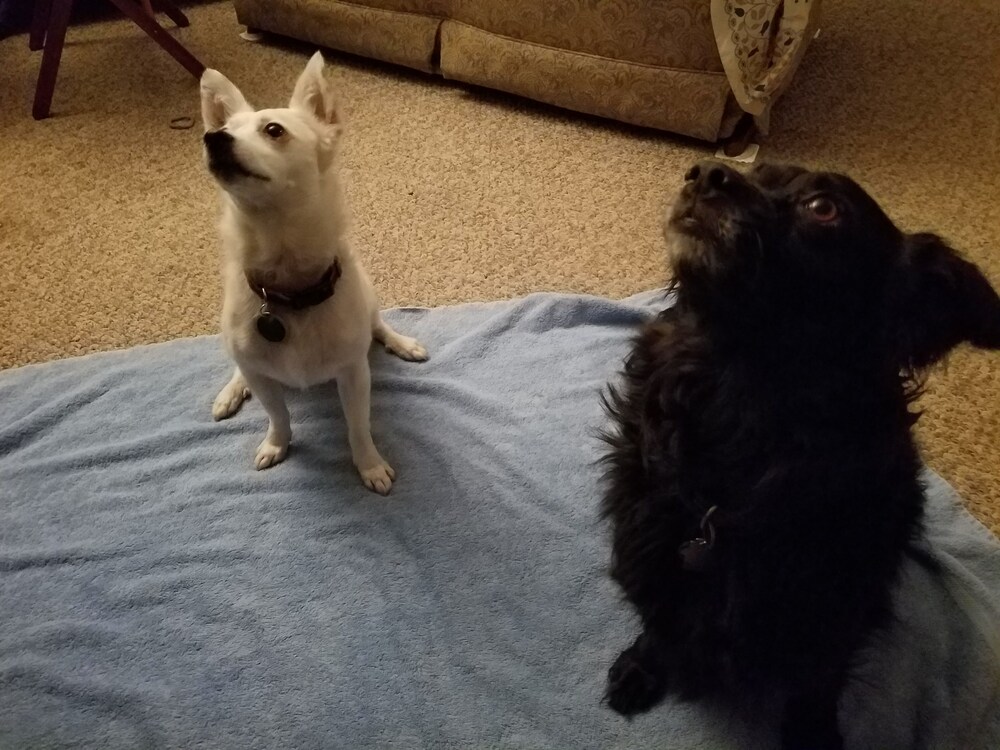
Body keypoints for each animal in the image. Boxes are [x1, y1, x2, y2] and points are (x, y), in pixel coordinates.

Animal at [199, 54, 426, 500]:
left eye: (274, 130)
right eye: (220, 130)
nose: (213, 138)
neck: (287, 284)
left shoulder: (354, 375)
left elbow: (358, 426)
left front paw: (369, 465)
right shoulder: (264, 376)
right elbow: (279, 416)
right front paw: (276, 445)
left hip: (370, 301)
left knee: (379, 326)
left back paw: (402, 343)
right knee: (241, 366)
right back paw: (232, 390)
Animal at [600, 162, 1000, 748]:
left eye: (823, 208)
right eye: (757, 170)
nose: (705, 171)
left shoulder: (835, 609)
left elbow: (818, 681)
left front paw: (812, 732)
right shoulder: (651, 549)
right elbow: (660, 618)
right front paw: (642, 665)